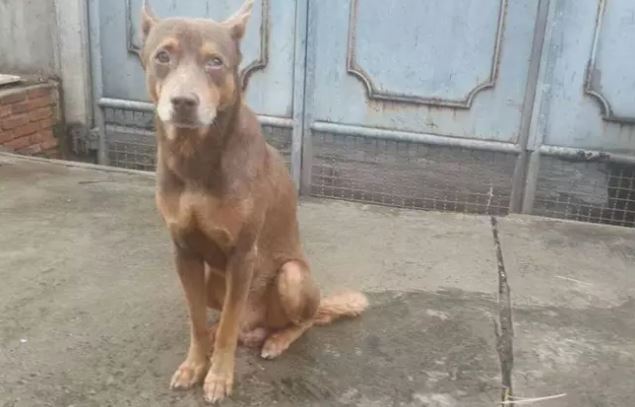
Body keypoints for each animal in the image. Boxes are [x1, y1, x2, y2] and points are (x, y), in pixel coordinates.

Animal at [139, 0, 368, 404]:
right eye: (162, 56)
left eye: (215, 62)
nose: (183, 102)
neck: (196, 157)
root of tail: (258, 324)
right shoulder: (184, 252)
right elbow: (196, 321)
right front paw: (195, 364)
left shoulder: (243, 253)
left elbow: (229, 326)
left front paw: (218, 376)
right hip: (213, 277)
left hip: (292, 276)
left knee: (302, 321)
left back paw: (276, 339)